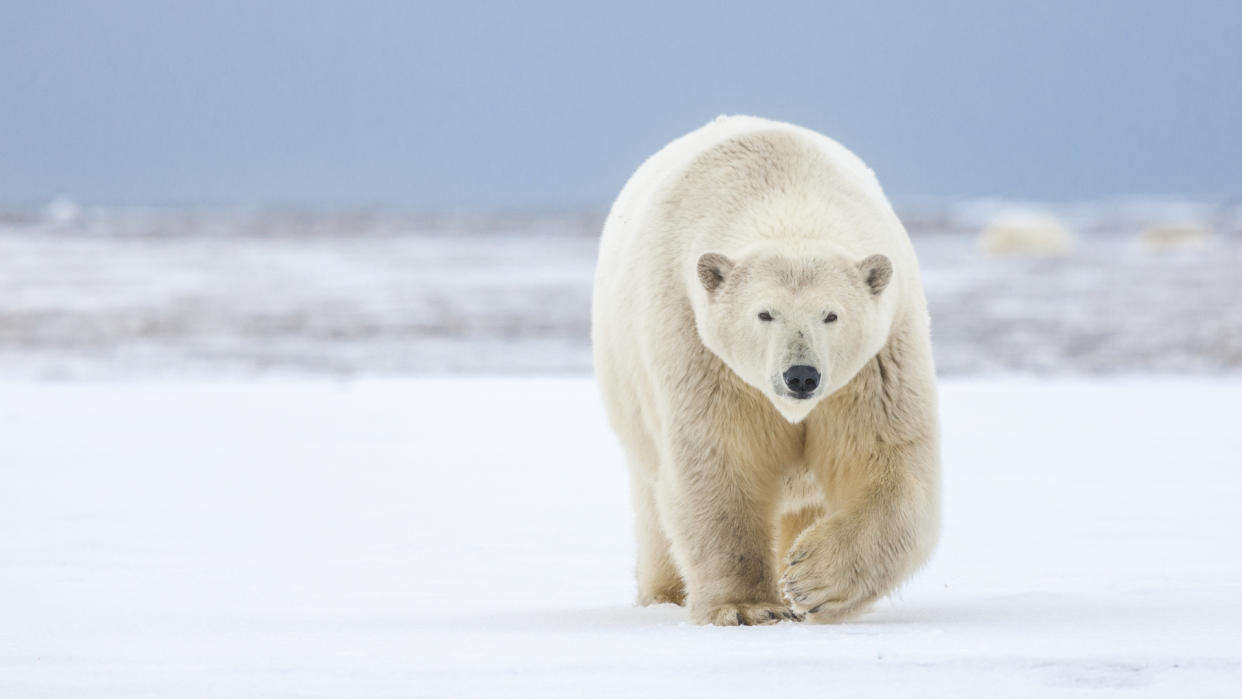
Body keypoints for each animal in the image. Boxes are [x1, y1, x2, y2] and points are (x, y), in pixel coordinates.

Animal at [593, 116, 938, 628]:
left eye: (831, 315)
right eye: (764, 313)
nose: (801, 376)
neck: (785, 192)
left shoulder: (878, 362)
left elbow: (888, 460)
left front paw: (810, 581)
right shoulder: (699, 347)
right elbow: (720, 459)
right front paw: (747, 606)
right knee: (654, 503)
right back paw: (665, 593)